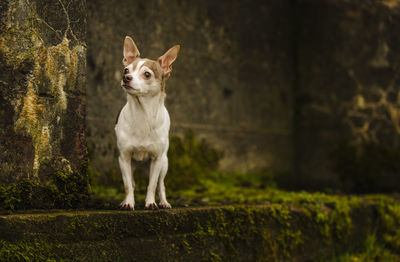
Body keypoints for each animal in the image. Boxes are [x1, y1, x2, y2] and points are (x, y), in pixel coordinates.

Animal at [115, 35, 179, 210]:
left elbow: (152, 185)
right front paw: (128, 202)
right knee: (132, 182)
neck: (142, 114)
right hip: (131, 164)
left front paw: (151, 203)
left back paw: (163, 202)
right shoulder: (124, 158)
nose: (126, 78)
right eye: (126, 70)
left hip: (164, 163)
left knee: (161, 184)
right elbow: (128, 185)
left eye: (147, 74)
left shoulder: (156, 160)